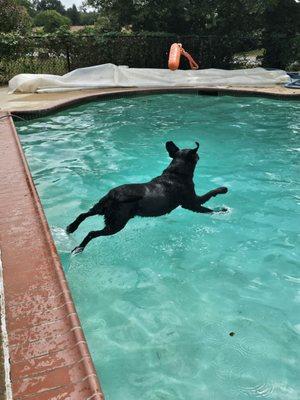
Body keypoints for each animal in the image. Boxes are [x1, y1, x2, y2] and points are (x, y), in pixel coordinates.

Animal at [67, 141, 227, 253]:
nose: (200, 155)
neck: (176, 173)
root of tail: (115, 195)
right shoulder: (191, 203)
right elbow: (208, 201)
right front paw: (222, 203)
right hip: (116, 223)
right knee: (91, 233)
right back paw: (79, 248)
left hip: (101, 207)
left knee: (83, 214)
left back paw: (71, 227)